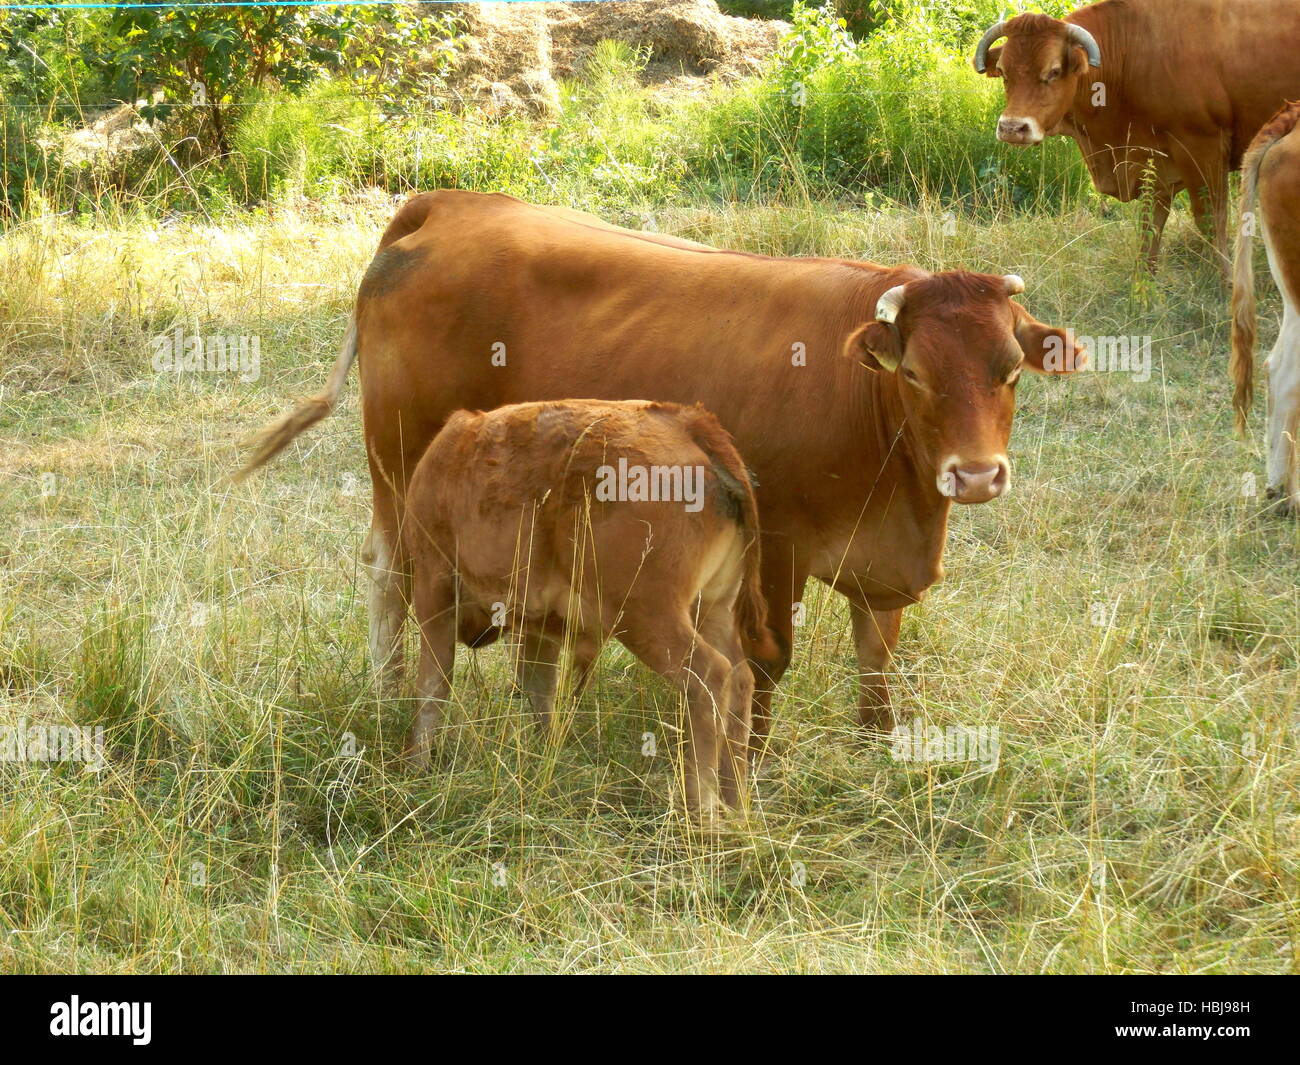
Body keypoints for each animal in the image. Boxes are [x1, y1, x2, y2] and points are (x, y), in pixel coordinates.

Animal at [232, 189, 1086, 761]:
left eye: (1011, 371)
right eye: (913, 373)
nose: (975, 476)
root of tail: (450, 202)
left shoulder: (879, 569)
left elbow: (877, 665)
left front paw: (876, 756)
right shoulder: (775, 546)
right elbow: (766, 660)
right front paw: (754, 761)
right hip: (399, 465)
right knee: (390, 576)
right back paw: (388, 697)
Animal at [402, 398, 769, 817]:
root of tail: (686, 423)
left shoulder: (434, 584)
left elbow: (433, 683)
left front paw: (416, 765)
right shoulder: (538, 624)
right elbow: (539, 688)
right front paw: (546, 753)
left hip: (646, 616)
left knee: (709, 677)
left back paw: (702, 812)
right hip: (713, 607)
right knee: (740, 680)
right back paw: (736, 806)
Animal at [974, 1, 1300, 273]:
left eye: (1053, 71)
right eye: (1003, 72)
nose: (1012, 127)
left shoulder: (1204, 150)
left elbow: (1211, 221)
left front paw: (1225, 281)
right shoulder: (1153, 163)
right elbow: (1150, 226)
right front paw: (1143, 282)